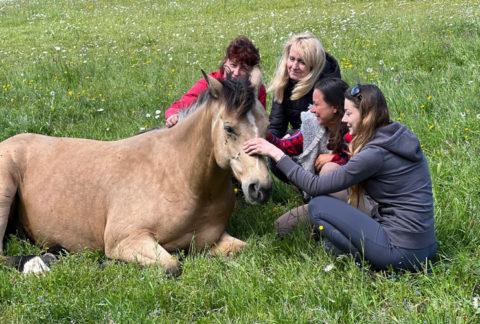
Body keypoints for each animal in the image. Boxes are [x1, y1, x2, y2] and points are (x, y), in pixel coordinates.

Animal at [0, 67, 270, 274]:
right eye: (229, 128)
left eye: (266, 125)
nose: (260, 188)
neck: (182, 178)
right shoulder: (126, 240)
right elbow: (172, 265)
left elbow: (244, 248)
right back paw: (41, 262)